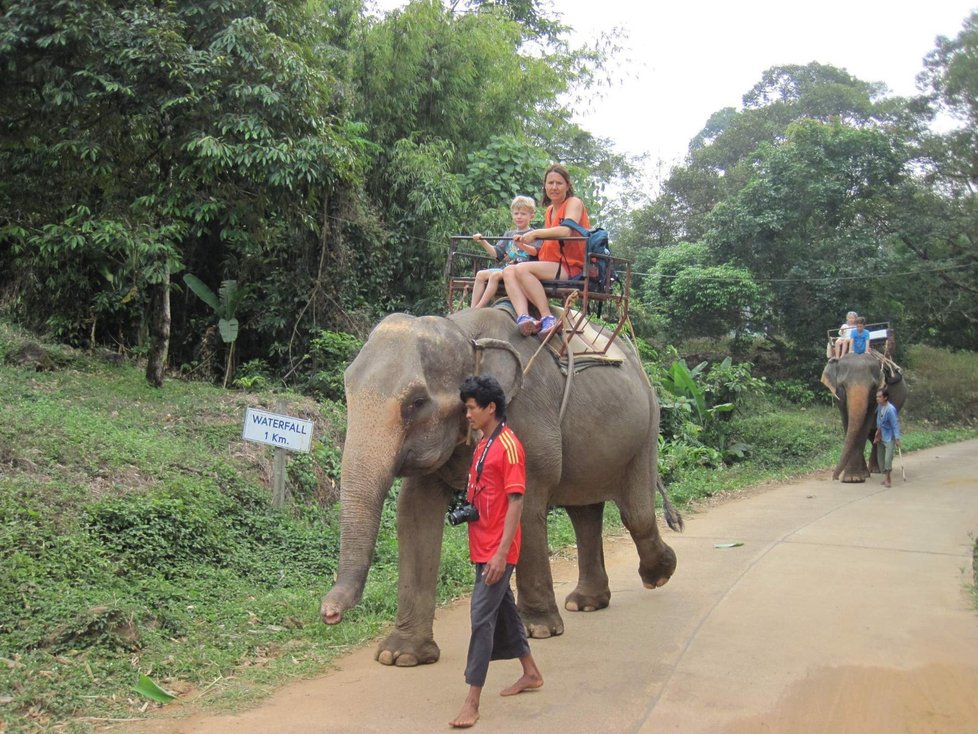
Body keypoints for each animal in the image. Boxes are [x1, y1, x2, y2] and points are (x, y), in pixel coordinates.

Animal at [320, 308, 680, 668]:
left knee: (636, 513)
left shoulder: (529, 422)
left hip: (647, 426)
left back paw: (659, 574)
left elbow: (524, 503)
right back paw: (586, 602)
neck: (468, 339)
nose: (328, 613)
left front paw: (539, 629)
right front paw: (401, 655)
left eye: (417, 402)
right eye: (347, 390)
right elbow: (414, 513)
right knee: (585, 513)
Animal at [820, 356, 904, 486]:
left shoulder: (873, 402)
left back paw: (876, 470)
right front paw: (855, 478)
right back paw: (868, 472)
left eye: (873, 387)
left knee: (876, 433)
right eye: (842, 385)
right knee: (873, 435)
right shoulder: (840, 402)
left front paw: (853, 479)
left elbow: (863, 429)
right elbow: (847, 425)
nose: (835, 477)